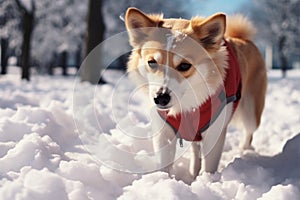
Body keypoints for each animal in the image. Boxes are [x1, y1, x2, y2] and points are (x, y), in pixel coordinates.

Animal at [124, 7, 268, 179]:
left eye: (185, 65)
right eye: (152, 62)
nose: (161, 98)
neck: (187, 106)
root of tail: (241, 38)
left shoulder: (214, 132)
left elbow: (209, 166)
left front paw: (208, 181)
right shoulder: (163, 132)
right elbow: (164, 164)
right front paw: (163, 180)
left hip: (251, 113)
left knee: (248, 132)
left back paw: (245, 151)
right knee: (195, 149)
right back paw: (192, 173)